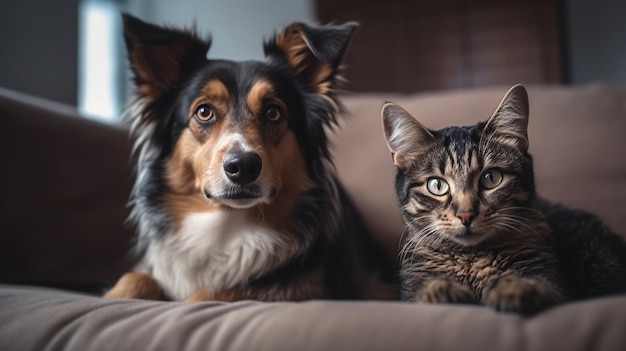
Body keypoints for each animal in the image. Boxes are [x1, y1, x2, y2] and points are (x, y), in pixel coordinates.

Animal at [104, 14, 392, 302]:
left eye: (273, 113)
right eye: (204, 112)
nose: (242, 166)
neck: (228, 225)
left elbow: (211, 294)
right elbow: (135, 277)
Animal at [378, 85, 624, 316]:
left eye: (491, 178)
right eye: (437, 185)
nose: (466, 214)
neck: (471, 259)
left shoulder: (551, 280)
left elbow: (535, 283)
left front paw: (515, 288)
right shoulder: (410, 290)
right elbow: (425, 290)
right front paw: (441, 290)